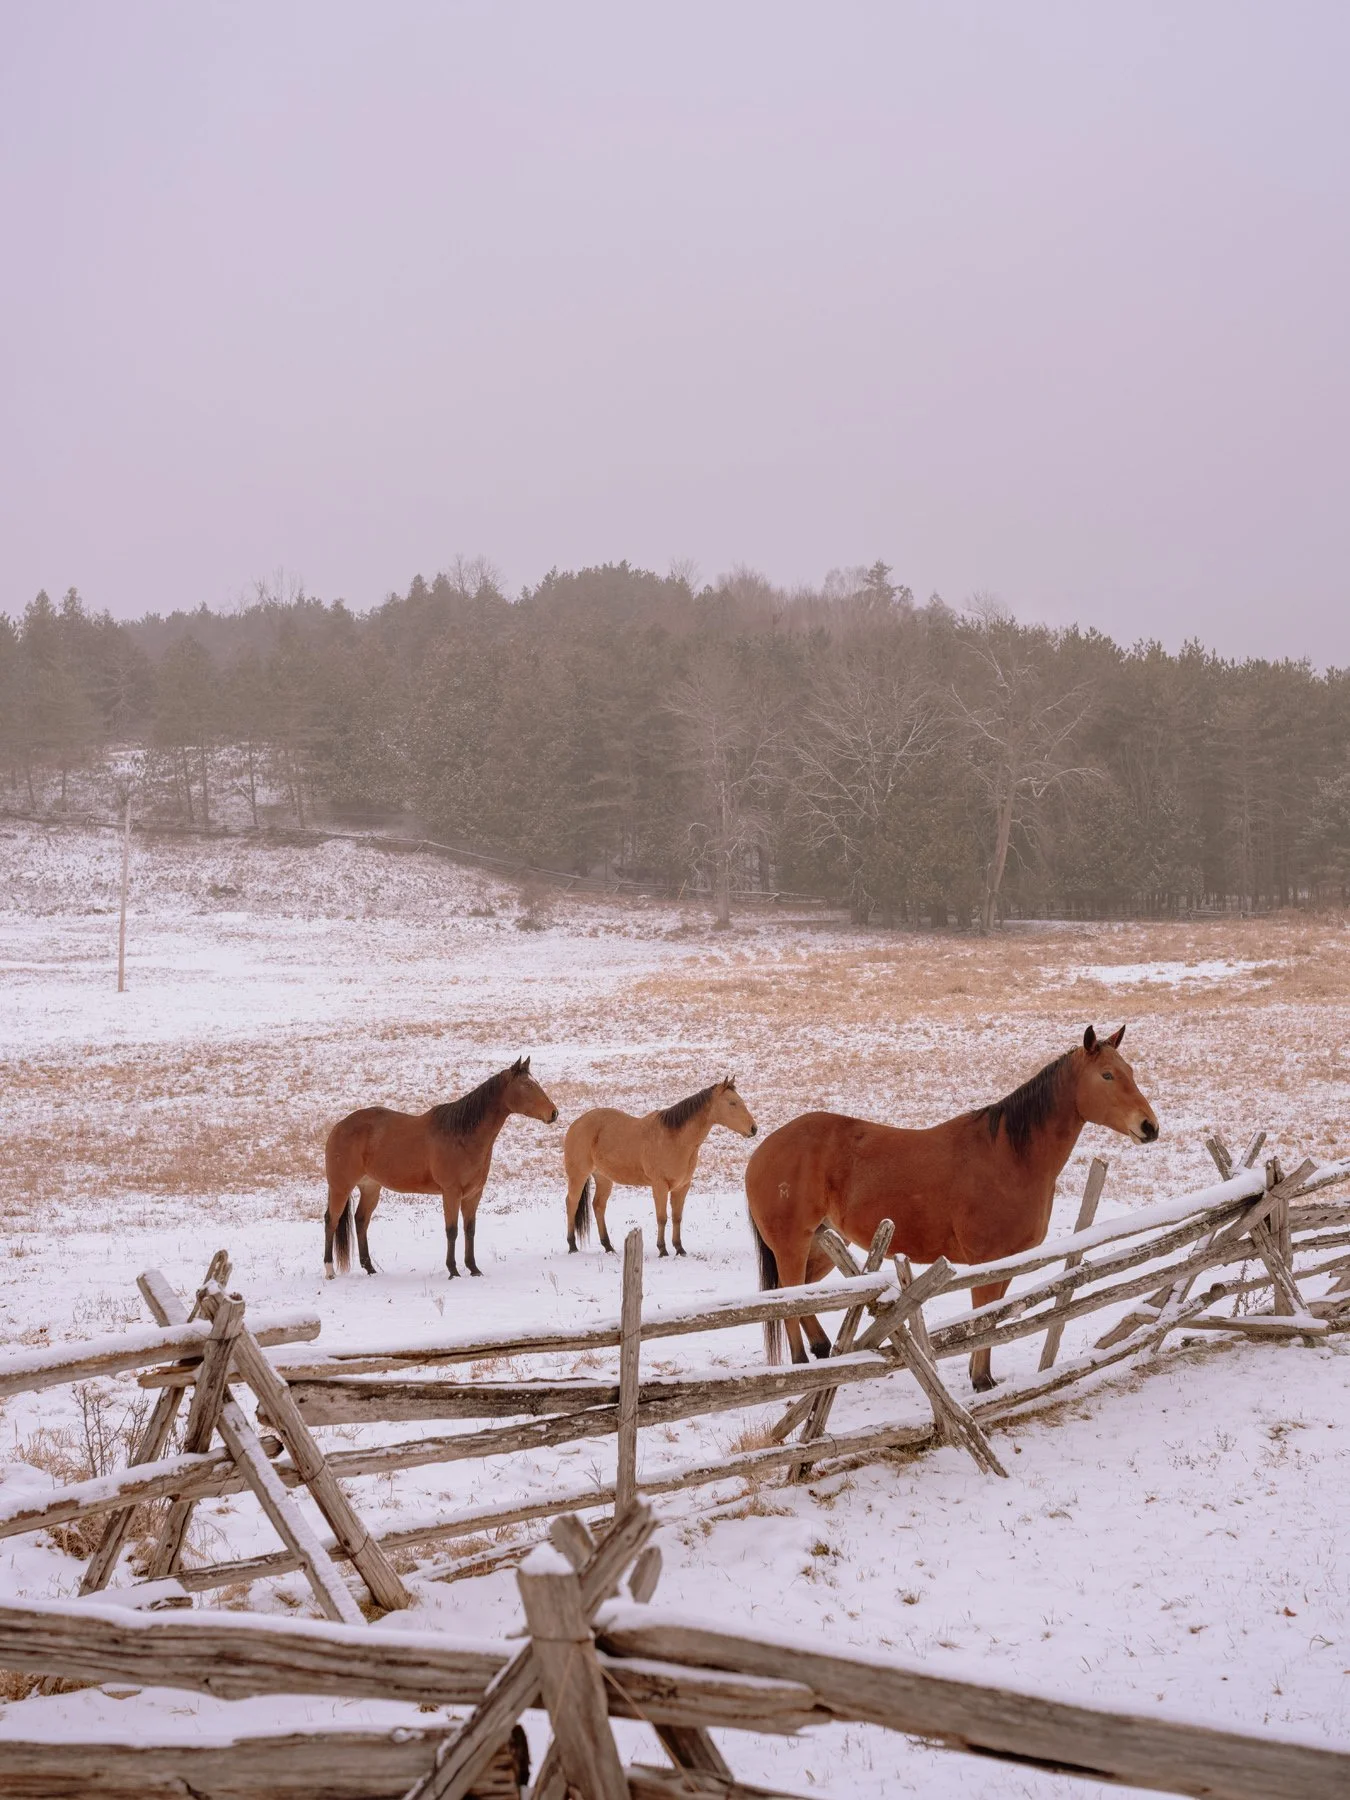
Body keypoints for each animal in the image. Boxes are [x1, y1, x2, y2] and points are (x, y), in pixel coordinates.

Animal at [324, 1056, 558, 1281]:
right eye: (527, 1085)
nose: (554, 1113)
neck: (461, 1136)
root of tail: (339, 1126)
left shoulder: (473, 1194)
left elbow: (470, 1230)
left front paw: (474, 1269)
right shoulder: (451, 1192)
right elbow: (452, 1231)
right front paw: (453, 1271)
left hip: (371, 1187)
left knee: (361, 1220)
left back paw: (370, 1269)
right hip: (340, 1187)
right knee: (331, 1220)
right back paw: (329, 1271)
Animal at [565, 1077, 759, 1257]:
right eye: (732, 1103)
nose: (754, 1128)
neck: (675, 1139)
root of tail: (576, 1123)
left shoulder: (682, 1186)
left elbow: (677, 1218)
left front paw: (679, 1248)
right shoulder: (660, 1186)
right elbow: (662, 1218)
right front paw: (663, 1249)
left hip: (604, 1178)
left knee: (598, 1206)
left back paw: (608, 1247)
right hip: (578, 1175)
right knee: (571, 1203)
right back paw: (572, 1245)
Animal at [745, 1025, 1159, 1387]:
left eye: (1130, 1071)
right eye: (1107, 1075)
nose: (1149, 1126)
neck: (1008, 1157)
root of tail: (763, 1151)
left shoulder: (1005, 1262)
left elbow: (992, 1317)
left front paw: (983, 1377)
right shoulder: (985, 1259)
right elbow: (983, 1319)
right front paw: (981, 1381)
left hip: (823, 1243)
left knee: (802, 1295)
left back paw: (823, 1349)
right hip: (793, 1244)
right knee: (787, 1298)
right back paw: (801, 1364)